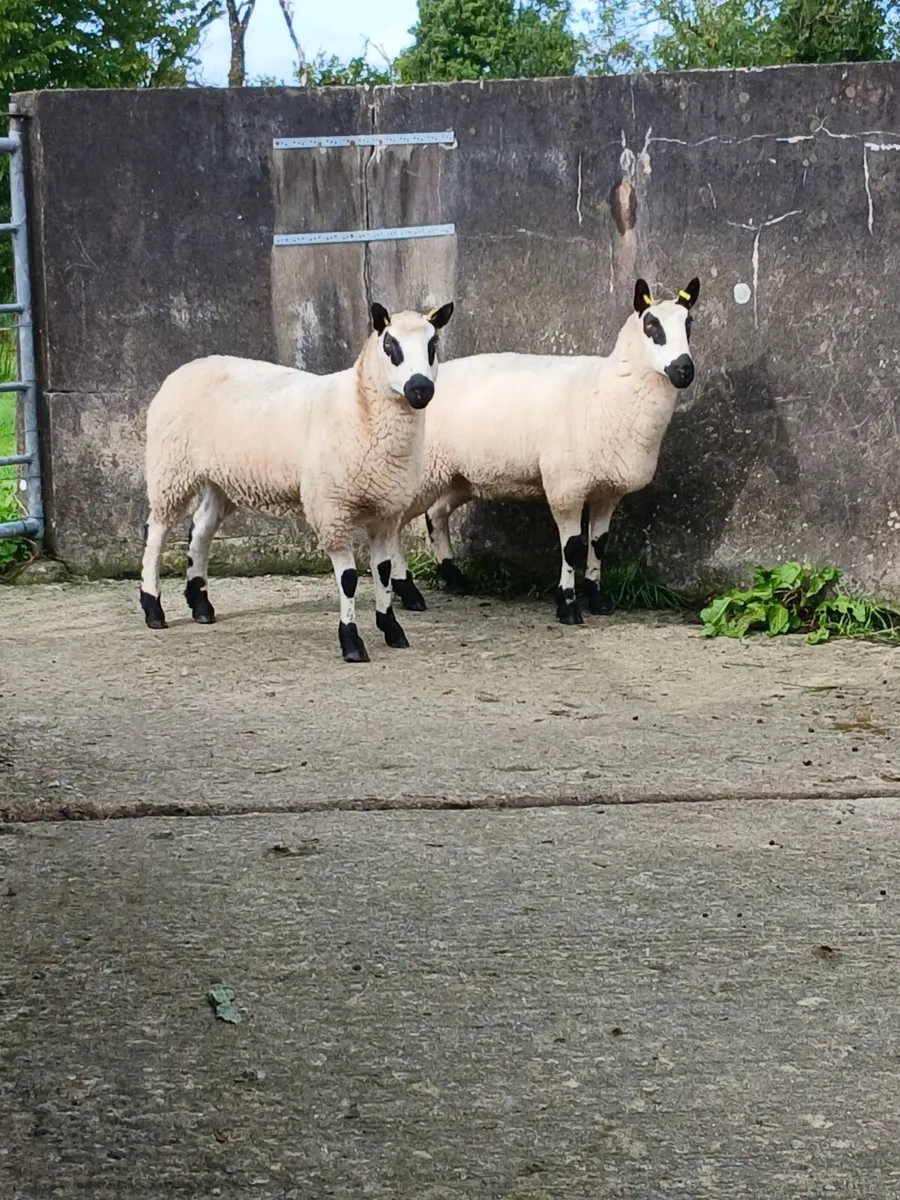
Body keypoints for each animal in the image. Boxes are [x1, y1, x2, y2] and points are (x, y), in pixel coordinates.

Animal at [139, 300, 455, 662]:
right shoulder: (331, 508)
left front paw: (391, 629)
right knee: (156, 532)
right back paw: (153, 608)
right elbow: (348, 579)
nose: (420, 389)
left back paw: (201, 605)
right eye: (391, 346)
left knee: (201, 530)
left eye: (432, 345)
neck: (359, 409)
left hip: (219, 478)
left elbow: (383, 570)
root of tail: (186, 367)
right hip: (170, 468)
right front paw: (351, 642)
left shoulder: (386, 510)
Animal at [392, 277, 699, 625]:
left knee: (435, 513)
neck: (609, 389)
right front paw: (567, 605)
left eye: (689, 323)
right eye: (651, 325)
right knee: (396, 523)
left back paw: (454, 578)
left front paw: (598, 600)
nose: (683, 370)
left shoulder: (608, 490)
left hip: (458, 474)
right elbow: (572, 548)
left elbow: (599, 544)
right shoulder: (565, 485)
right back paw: (408, 591)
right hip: (423, 469)